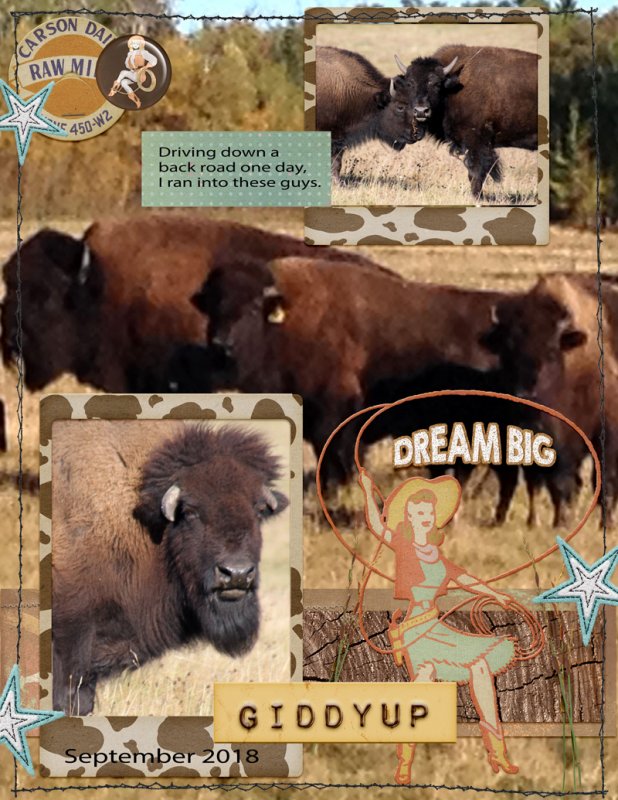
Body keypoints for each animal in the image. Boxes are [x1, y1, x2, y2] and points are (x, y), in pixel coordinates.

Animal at [396, 45, 538, 197]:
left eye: (436, 84)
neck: (452, 89)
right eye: (410, 83)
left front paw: (476, 197)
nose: (421, 111)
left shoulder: (476, 141)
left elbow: (476, 172)